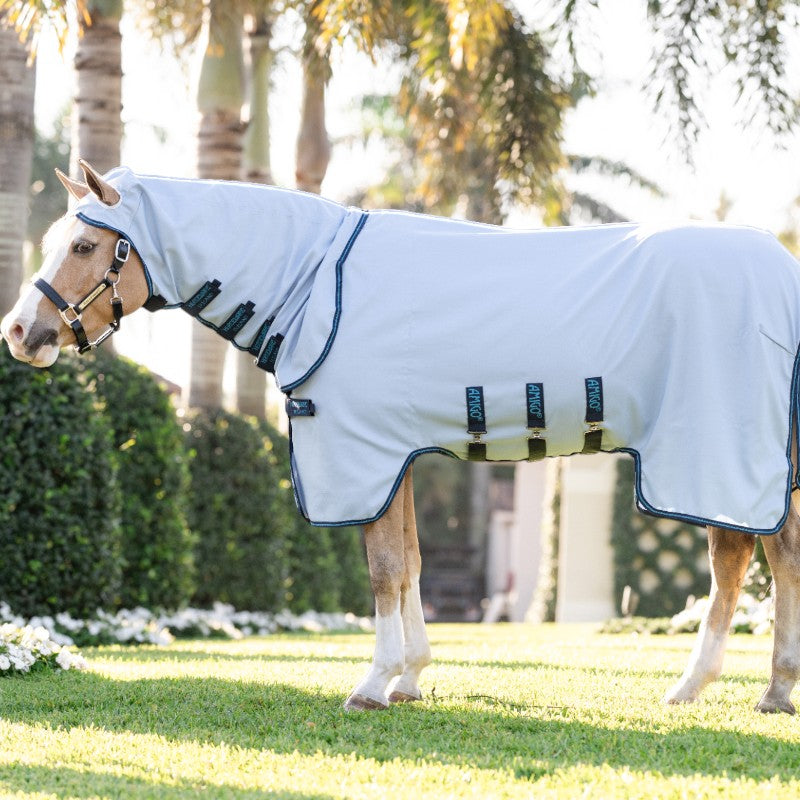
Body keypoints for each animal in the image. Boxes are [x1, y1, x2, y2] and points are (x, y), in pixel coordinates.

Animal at [3, 159, 800, 714]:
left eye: (84, 244)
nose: (18, 332)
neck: (316, 280)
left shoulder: (365, 455)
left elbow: (384, 571)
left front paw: (373, 682)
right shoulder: (400, 456)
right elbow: (412, 563)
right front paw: (410, 678)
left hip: (717, 449)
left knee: (744, 559)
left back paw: (718, 685)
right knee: (768, 554)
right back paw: (753, 689)